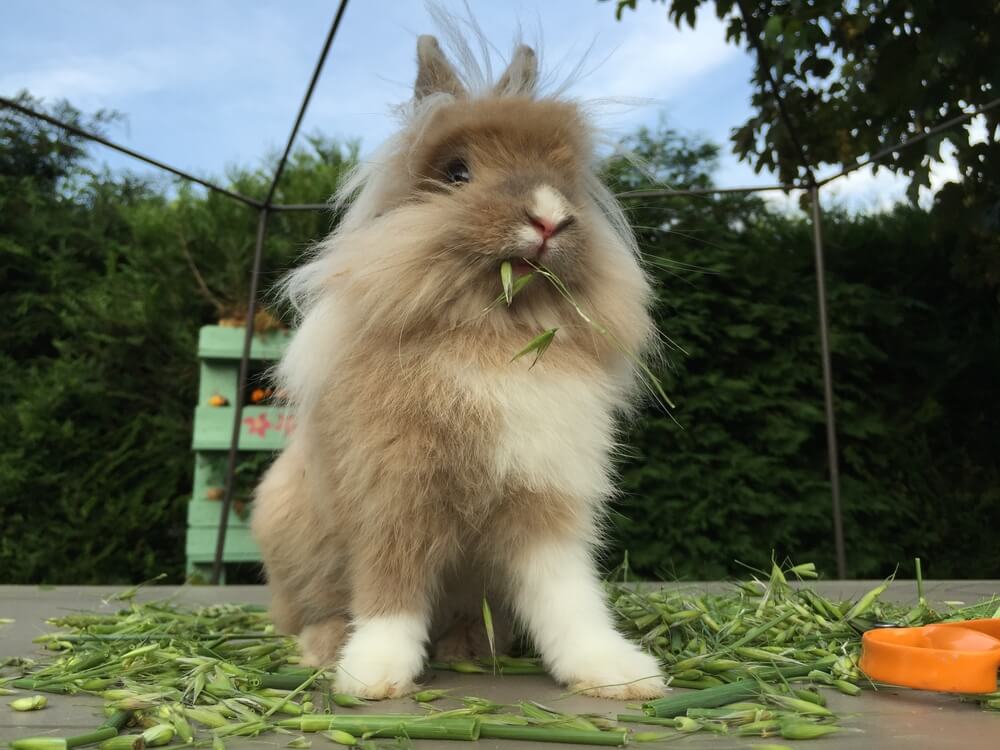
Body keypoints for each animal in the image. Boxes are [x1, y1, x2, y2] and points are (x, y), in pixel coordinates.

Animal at [254, 27, 668, 700]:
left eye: (564, 178)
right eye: (457, 172)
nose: (550, 217)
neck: (494, 331)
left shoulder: (546, 499)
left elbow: (568, 597)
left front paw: (618, 673)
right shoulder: (392, 493)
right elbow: (390, 587)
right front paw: (372, 675)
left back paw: (472, 646)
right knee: (310, 609)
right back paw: (326, 645)